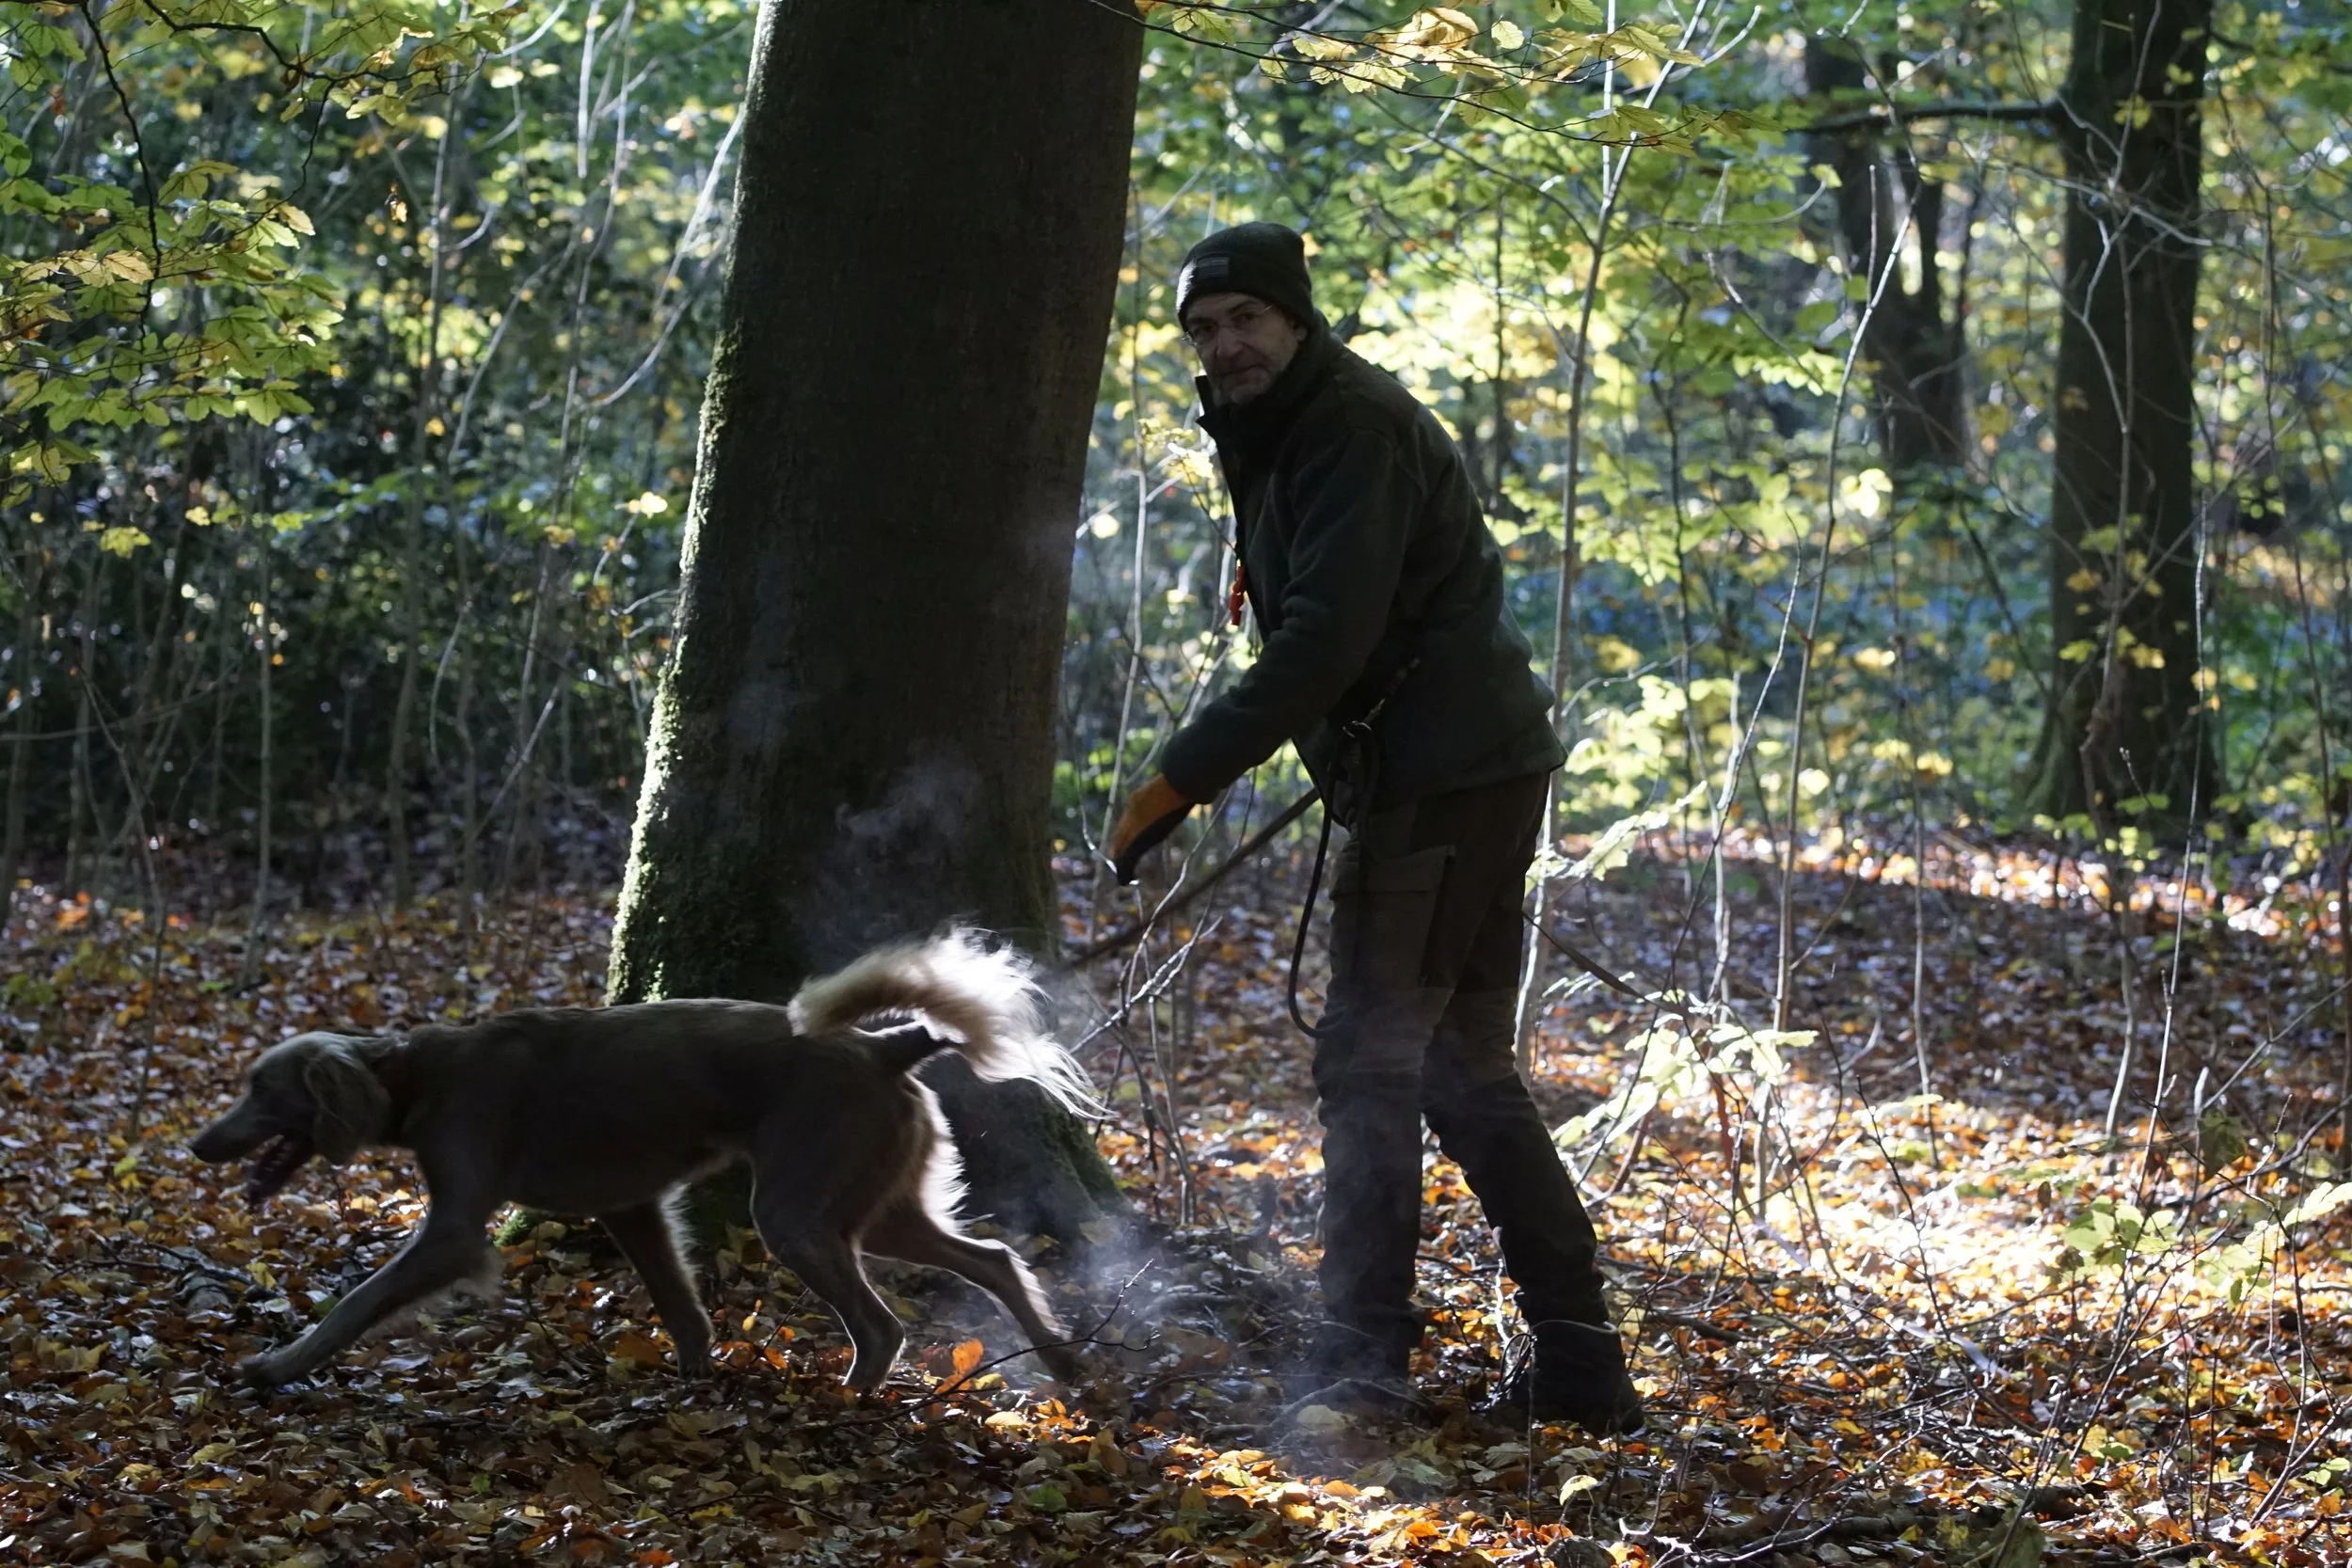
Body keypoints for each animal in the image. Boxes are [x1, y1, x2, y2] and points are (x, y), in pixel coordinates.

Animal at [189, 931, 1098, 1391]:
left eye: (261, 1087)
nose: (200, 1143)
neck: (415, 1073)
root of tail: (885, 1044)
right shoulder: (630, 1206)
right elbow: (679, 1301)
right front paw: (695, 1373)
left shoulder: (453, 1230)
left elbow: (358, 1302)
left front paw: (281, 1364)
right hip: (876, 1206)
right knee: (994, 1256)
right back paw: (1059, 1358)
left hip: (799, 1213)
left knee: (882, 1326)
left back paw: (848, 1401)